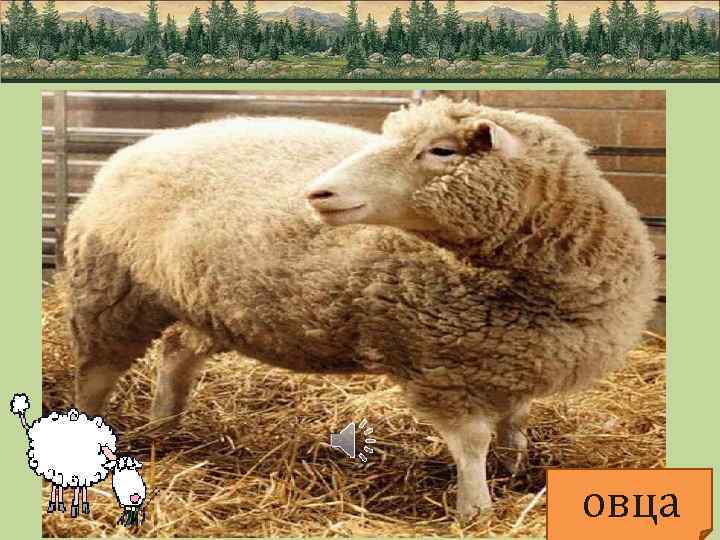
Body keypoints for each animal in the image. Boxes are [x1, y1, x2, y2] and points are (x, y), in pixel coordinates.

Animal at [64, 98, 657, 519]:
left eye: (443, 151)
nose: (318, 193)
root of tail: (132, 151)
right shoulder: (436, 363)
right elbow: (472, 443)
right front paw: (476, 509)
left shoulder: (513, 355)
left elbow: (516, 421)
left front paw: (516, 470)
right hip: (112, 295)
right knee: (94, 377)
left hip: (199, 299)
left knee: (177, 356)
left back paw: (167, 426)